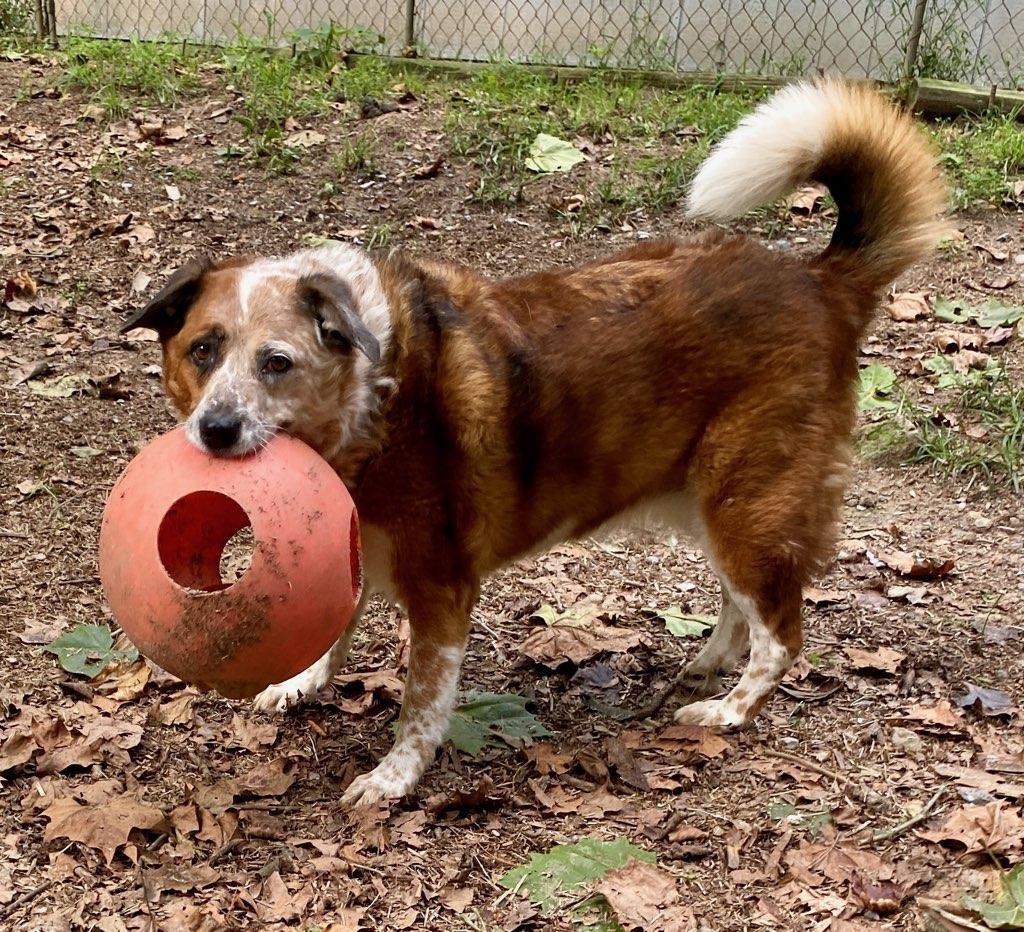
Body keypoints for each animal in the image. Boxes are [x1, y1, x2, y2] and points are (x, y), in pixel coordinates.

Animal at [121, 80, 942, 807]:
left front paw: (393, 780)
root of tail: (819, 279)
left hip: (746, 500)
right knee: (743, 607)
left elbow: (420, 704)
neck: (371, 396)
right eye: (202, 351)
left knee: (782, 631)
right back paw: (706, 668)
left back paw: (728, 712)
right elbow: (333, 630)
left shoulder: (441, 589)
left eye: (277, 363)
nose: (215, 430)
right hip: (714, 503)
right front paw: (302, 683)